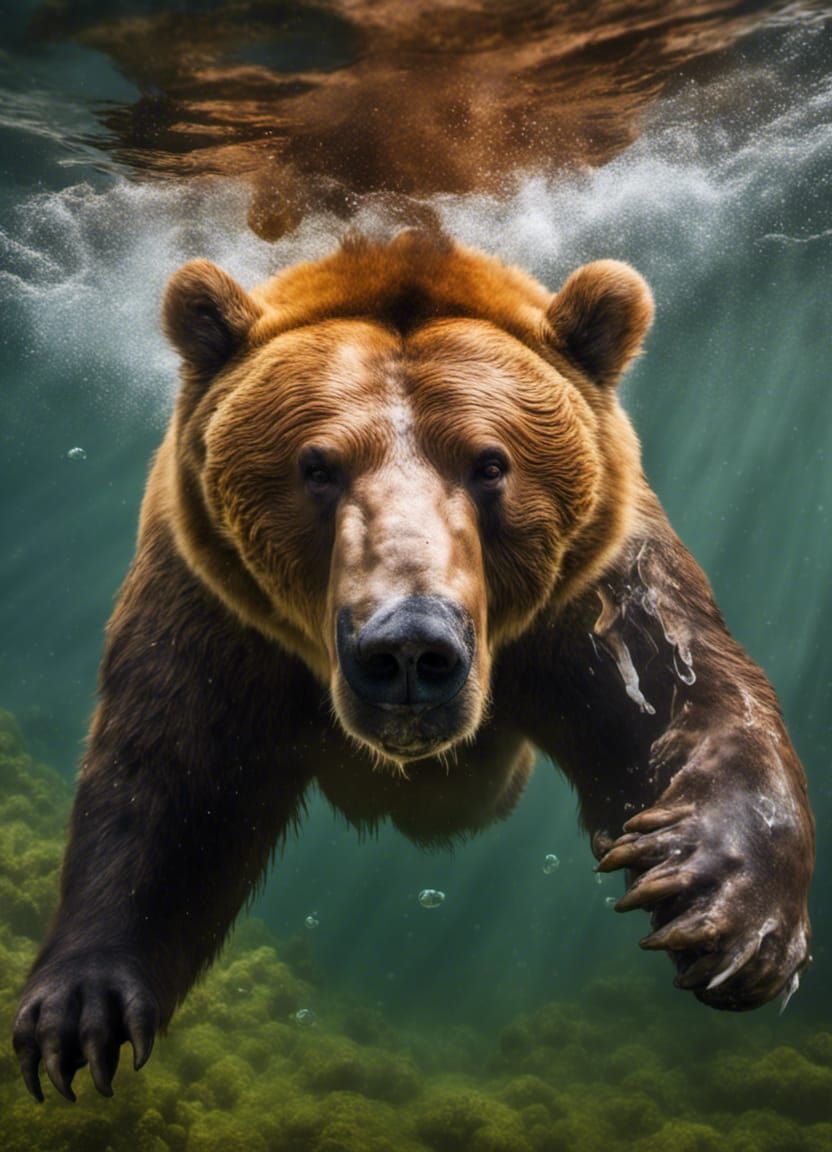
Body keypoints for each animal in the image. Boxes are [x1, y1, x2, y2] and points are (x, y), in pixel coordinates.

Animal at [13, 230, 814, 1102]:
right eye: (317, 465)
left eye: (491, 463)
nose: (407, 647)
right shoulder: (214, 606)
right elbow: (167, 776)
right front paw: (79, 1010)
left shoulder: (592, 592)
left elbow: (680, 695)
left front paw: (726, 911)